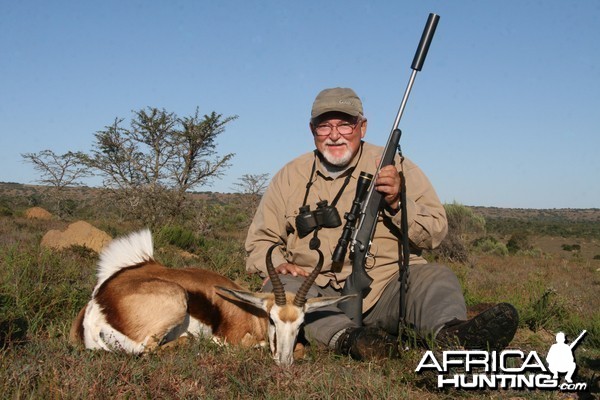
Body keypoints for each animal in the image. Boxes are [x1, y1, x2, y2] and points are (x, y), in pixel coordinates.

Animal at [70, 230, 352, 368]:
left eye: (301, 323)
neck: (251, 314)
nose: (284, 362)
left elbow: (302, 348)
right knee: (152, 350)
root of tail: (100, 301)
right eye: (272, 320)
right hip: (176, 302)